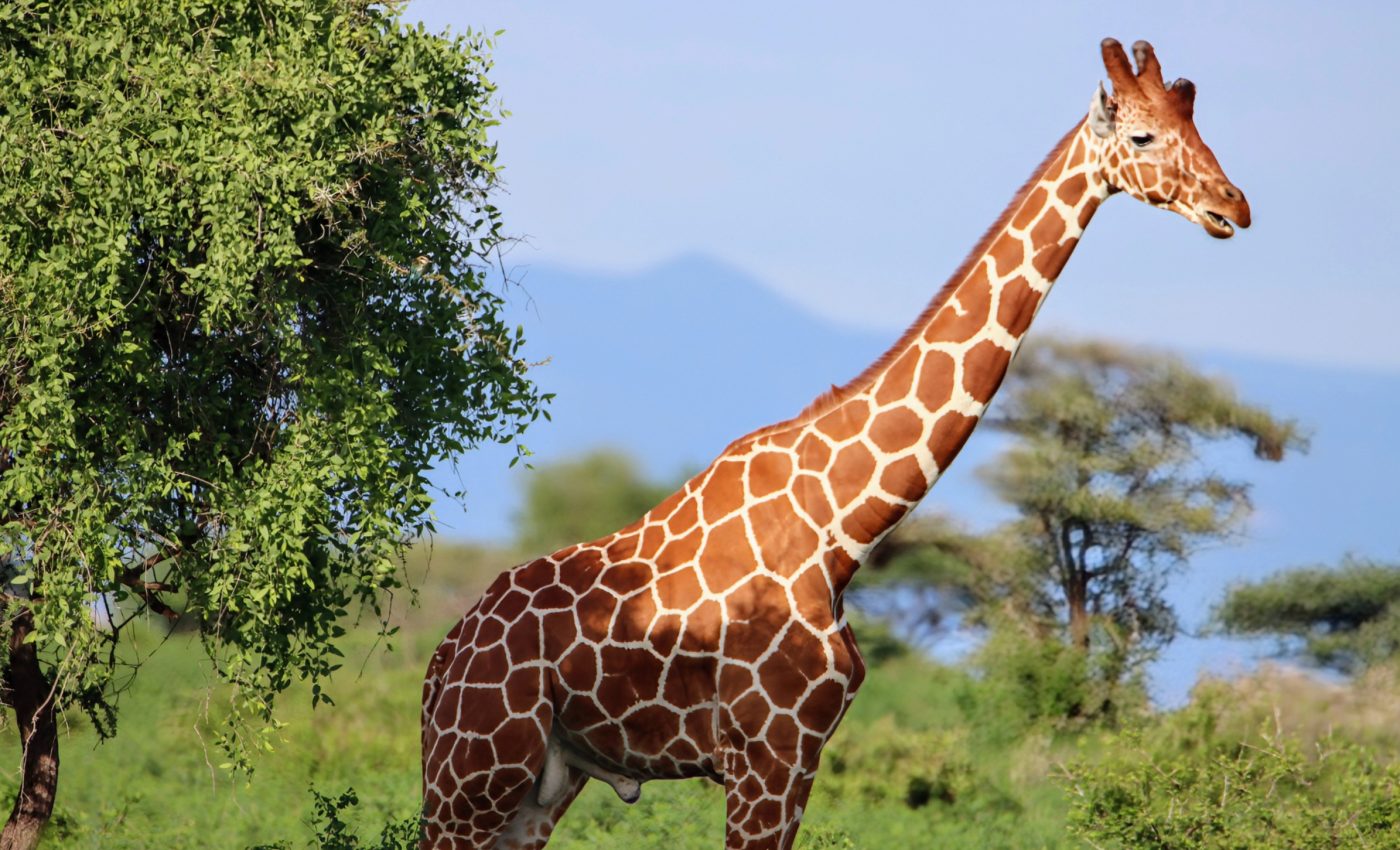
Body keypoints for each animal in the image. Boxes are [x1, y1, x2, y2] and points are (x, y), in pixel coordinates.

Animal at [421, 38, 1251, 850]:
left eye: (1198, 127)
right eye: (1142, 137)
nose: (1234, 205)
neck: (840, 526)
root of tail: (440, 662)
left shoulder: (802, 756)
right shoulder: (767, 753)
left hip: (543, 783)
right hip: (474, 770)